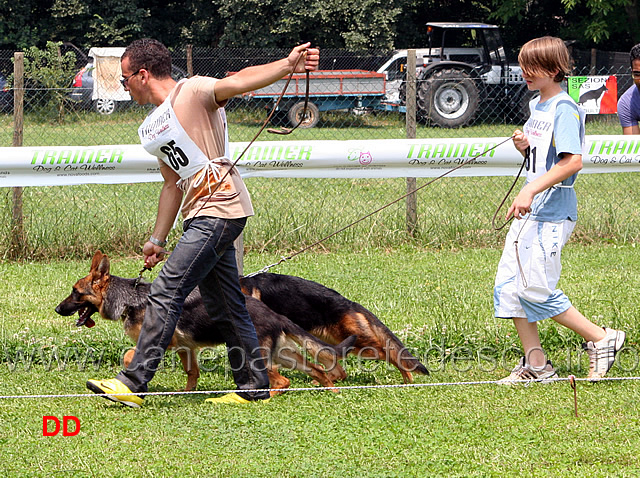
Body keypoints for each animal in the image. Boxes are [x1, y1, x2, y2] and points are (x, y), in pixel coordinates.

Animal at [55, 252, 356, 394]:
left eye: (75, 292)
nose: (57, 309)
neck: (131, 299)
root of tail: (275, 315)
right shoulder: (185, 348)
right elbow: (192, 374)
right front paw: (185, 393)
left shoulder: (160, 343)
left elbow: (130, 354)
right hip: (285, 356)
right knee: (317, 369)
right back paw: (332, 390)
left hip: (256, 356)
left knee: (283, 381)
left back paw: (266, 394)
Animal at [238, 272, 428, 380]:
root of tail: (350, 304)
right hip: (329, 342)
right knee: (338, 370)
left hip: (362, 346)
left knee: (391, 354)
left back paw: (407, 379)